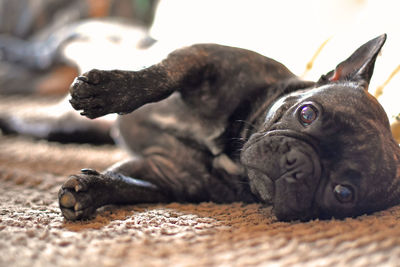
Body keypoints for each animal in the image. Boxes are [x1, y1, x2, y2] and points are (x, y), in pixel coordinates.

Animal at [56, 33, 400, 222]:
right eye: (307, 113)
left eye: (343, 192)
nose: (297, 163)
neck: (231, 150)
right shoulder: (205, 57)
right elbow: (160, 77)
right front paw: (108, 92)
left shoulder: (164, 176)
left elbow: (128, 184)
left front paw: (90, 190)